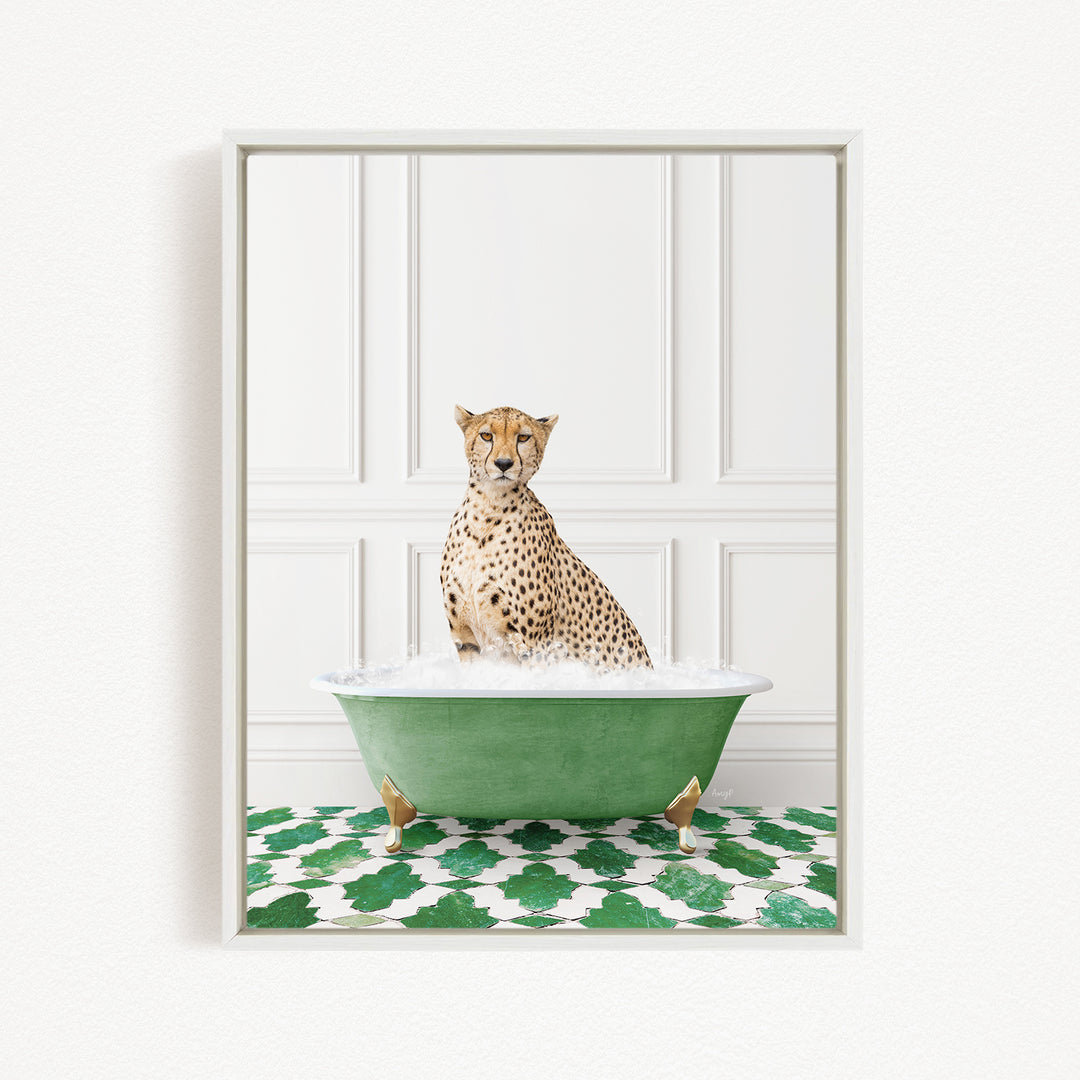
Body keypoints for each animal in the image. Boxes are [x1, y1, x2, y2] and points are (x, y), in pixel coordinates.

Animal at [440, 404, 653, 670]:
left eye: (523, 437)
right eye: (486, 436)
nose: (503, 463)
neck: (488, 508)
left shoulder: (535, 645)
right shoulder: (466, 639)